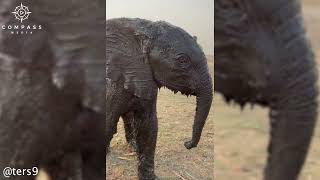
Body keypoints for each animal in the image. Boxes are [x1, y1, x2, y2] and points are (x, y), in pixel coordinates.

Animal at [105, 18, 212, 180]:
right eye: (182, 60)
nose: (187, 143)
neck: (145, 29)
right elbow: (108, 123)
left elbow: (148, 125)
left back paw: (133, 148)